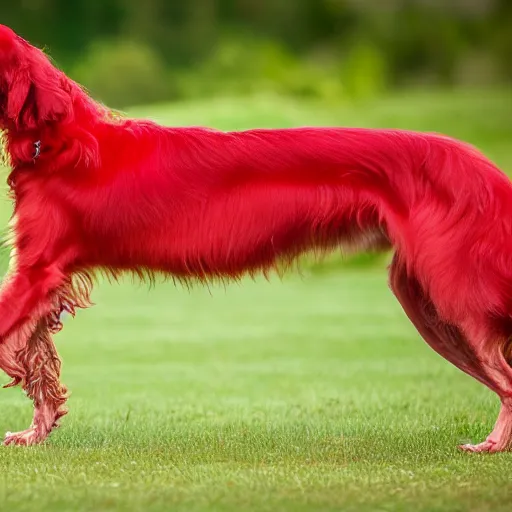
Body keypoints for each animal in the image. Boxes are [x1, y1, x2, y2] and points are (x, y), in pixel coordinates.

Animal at [1, 23, 512, 452]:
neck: (59, 138)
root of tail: (486, 171)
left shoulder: (37, 271)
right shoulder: (44, 277)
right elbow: (38, 362)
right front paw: (35, 433)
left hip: (456, 294)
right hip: (422, 295)